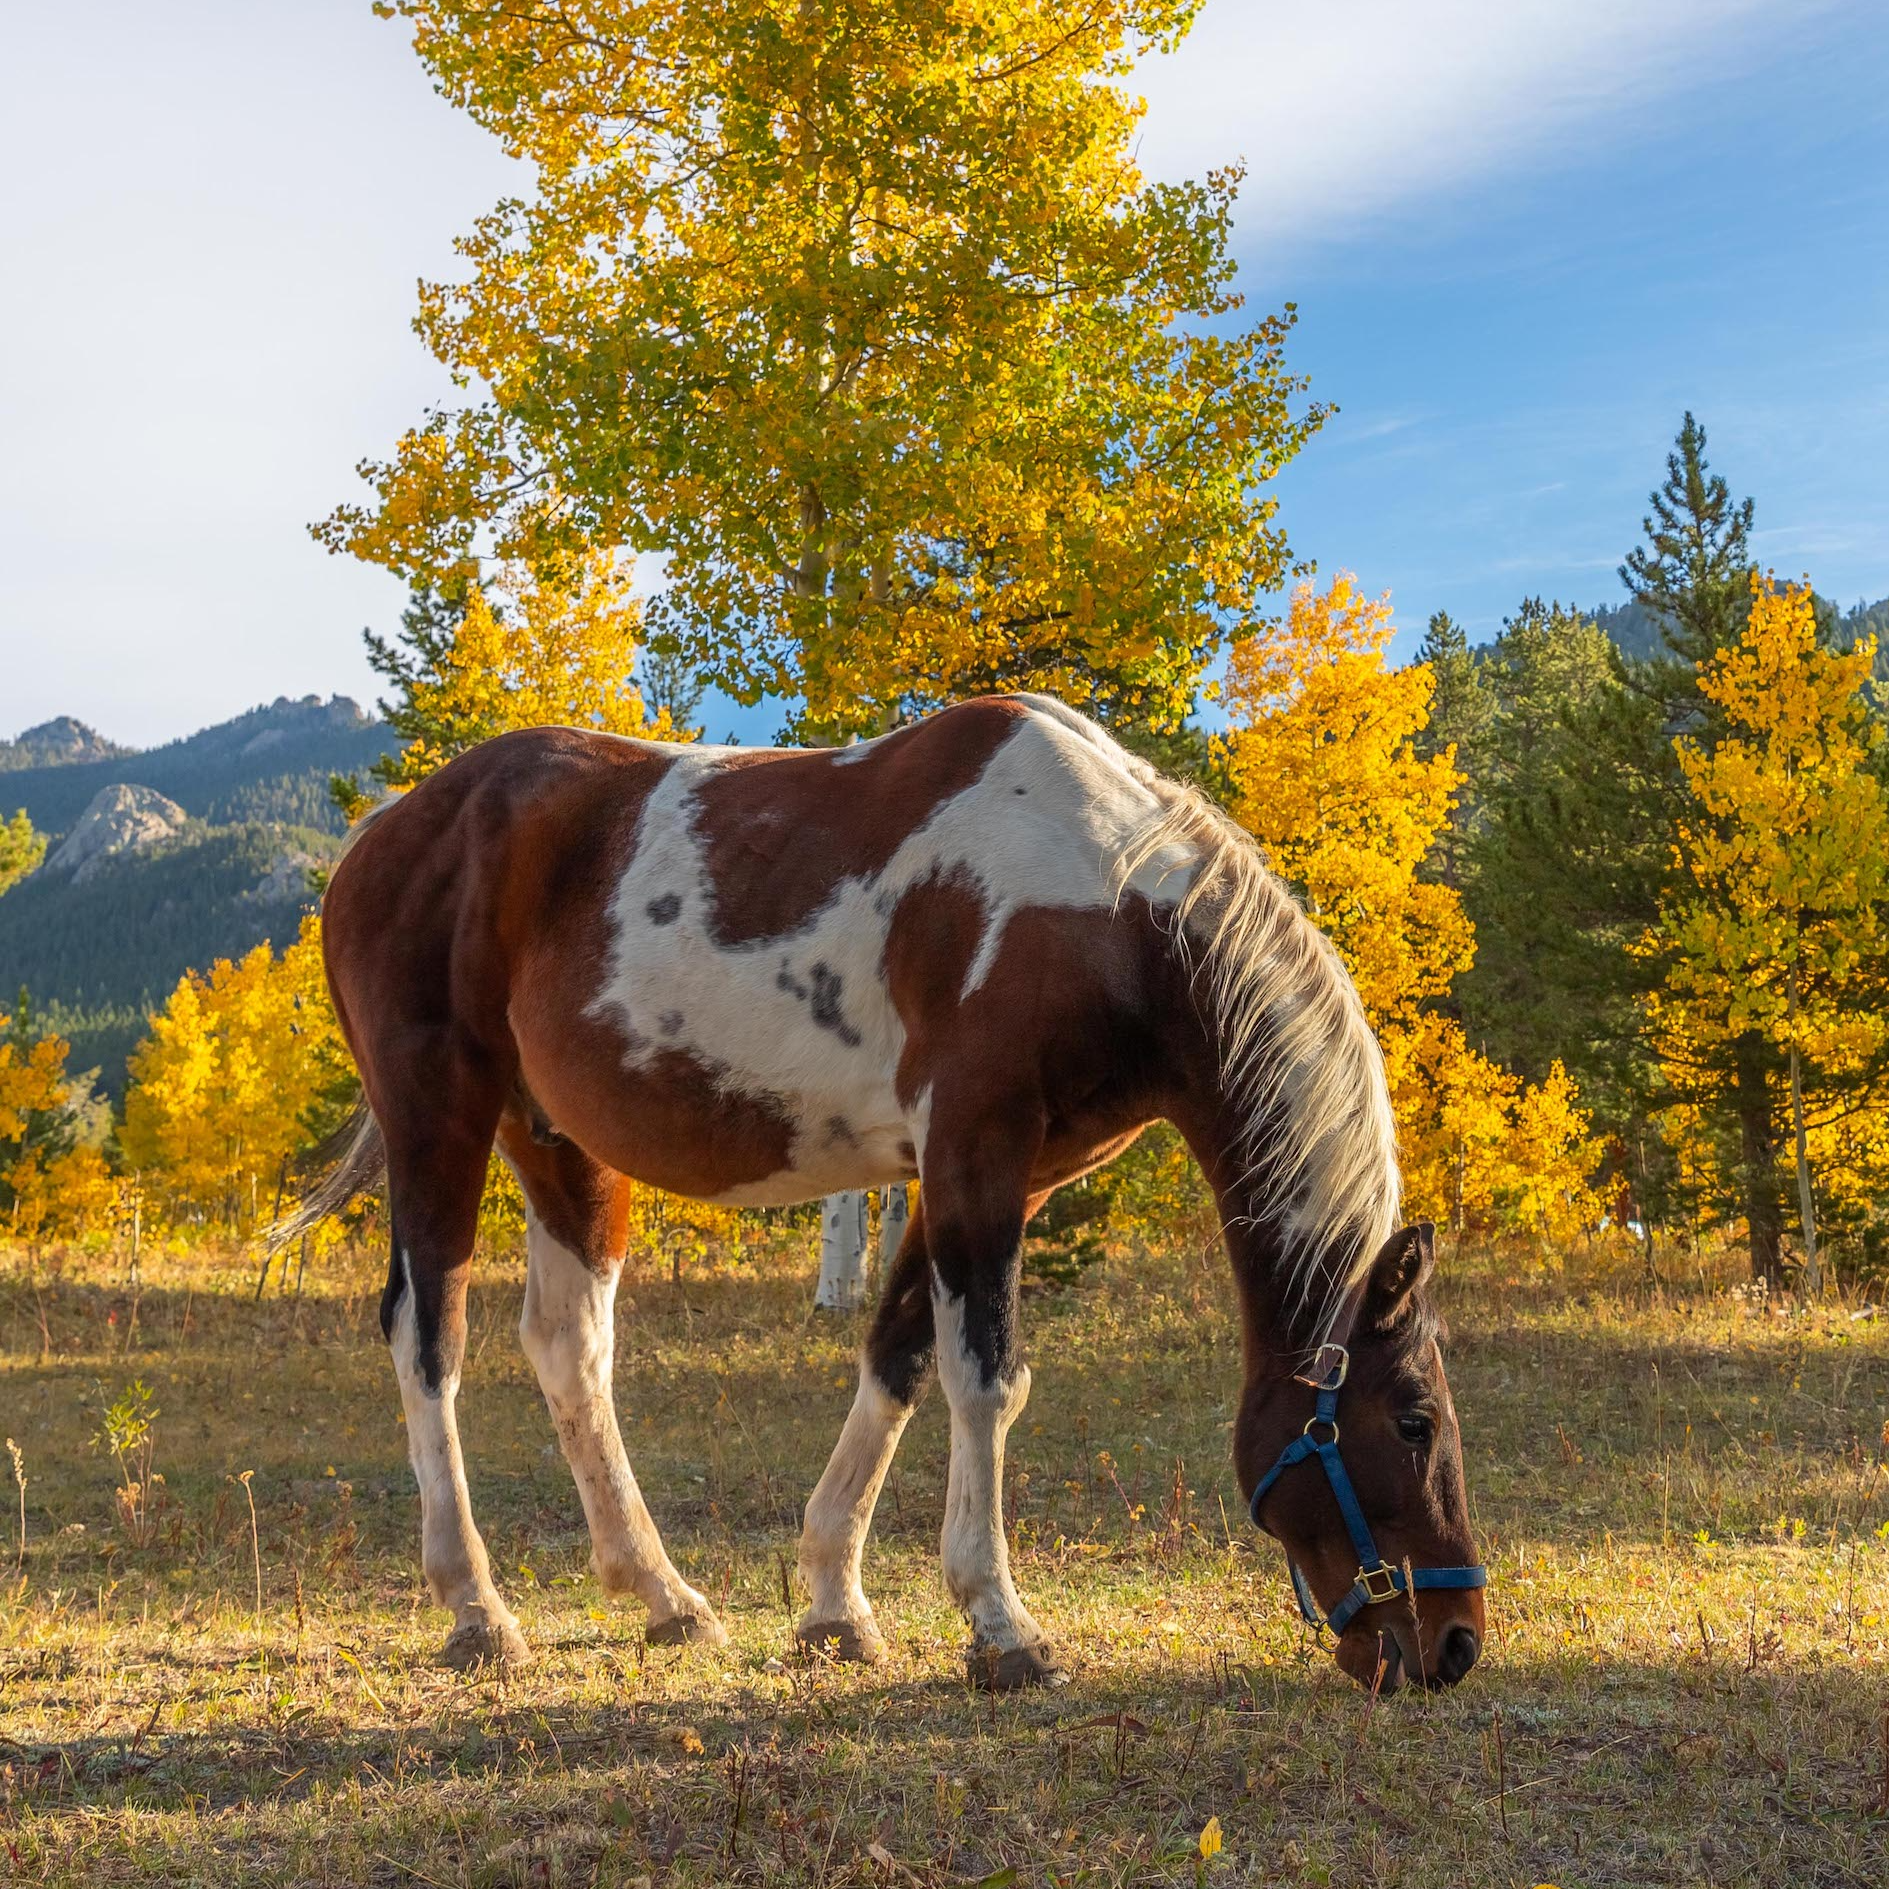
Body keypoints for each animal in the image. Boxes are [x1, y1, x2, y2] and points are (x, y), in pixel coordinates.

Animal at [306, 695, 1488, 1700]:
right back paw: (476, 1606)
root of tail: (384, 834)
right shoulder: (976, 1153)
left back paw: (665, 1596)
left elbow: (899, 1358)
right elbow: (986, 1380)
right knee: (427, 1334)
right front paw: (1002, 1624)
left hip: (559, 1143)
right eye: (1414, 1421)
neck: (1107, 912)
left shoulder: (979, 1175)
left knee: (569, 1348)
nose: (1454, 1642)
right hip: (438, 1118)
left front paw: (833, 1602)